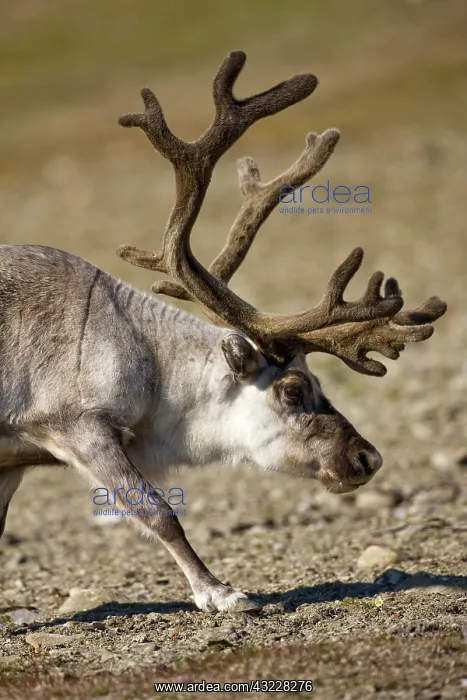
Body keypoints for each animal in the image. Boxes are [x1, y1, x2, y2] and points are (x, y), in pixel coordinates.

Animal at [0, 51, 446, 613]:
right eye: (293, 391)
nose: (369, 456)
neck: (142, 356)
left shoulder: (10, 460)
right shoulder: (78, 425)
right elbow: (158, 511)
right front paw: (220, 592)